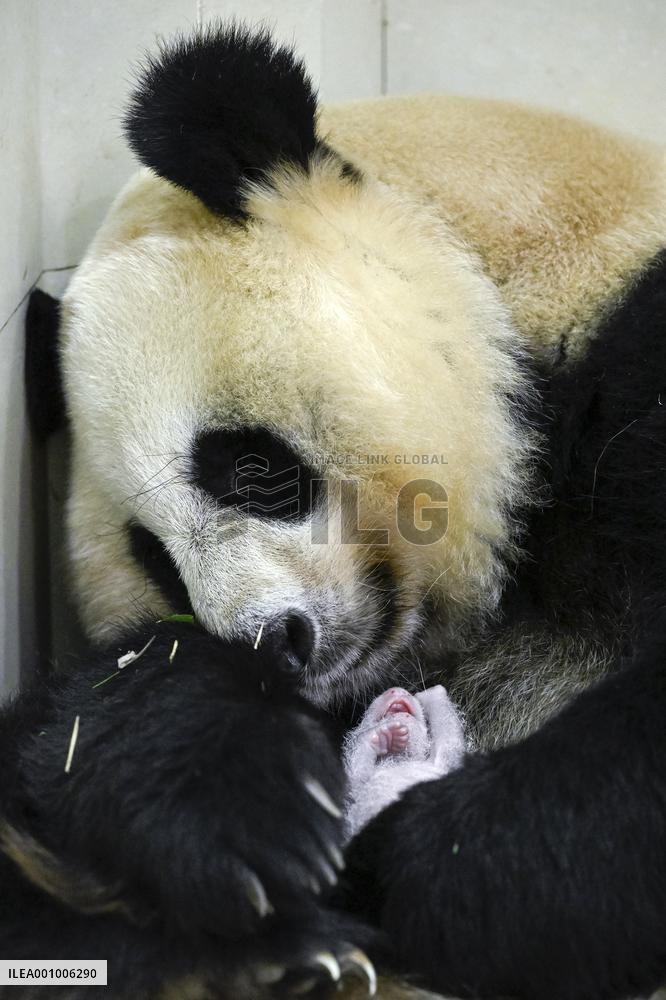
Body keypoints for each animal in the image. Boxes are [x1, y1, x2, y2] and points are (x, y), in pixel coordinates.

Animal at [11, 20, 666, 1000]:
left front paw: (408, 864)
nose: (272, 644)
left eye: (248, 466)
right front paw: (251, 823)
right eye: (154, 559)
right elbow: (70, 733)